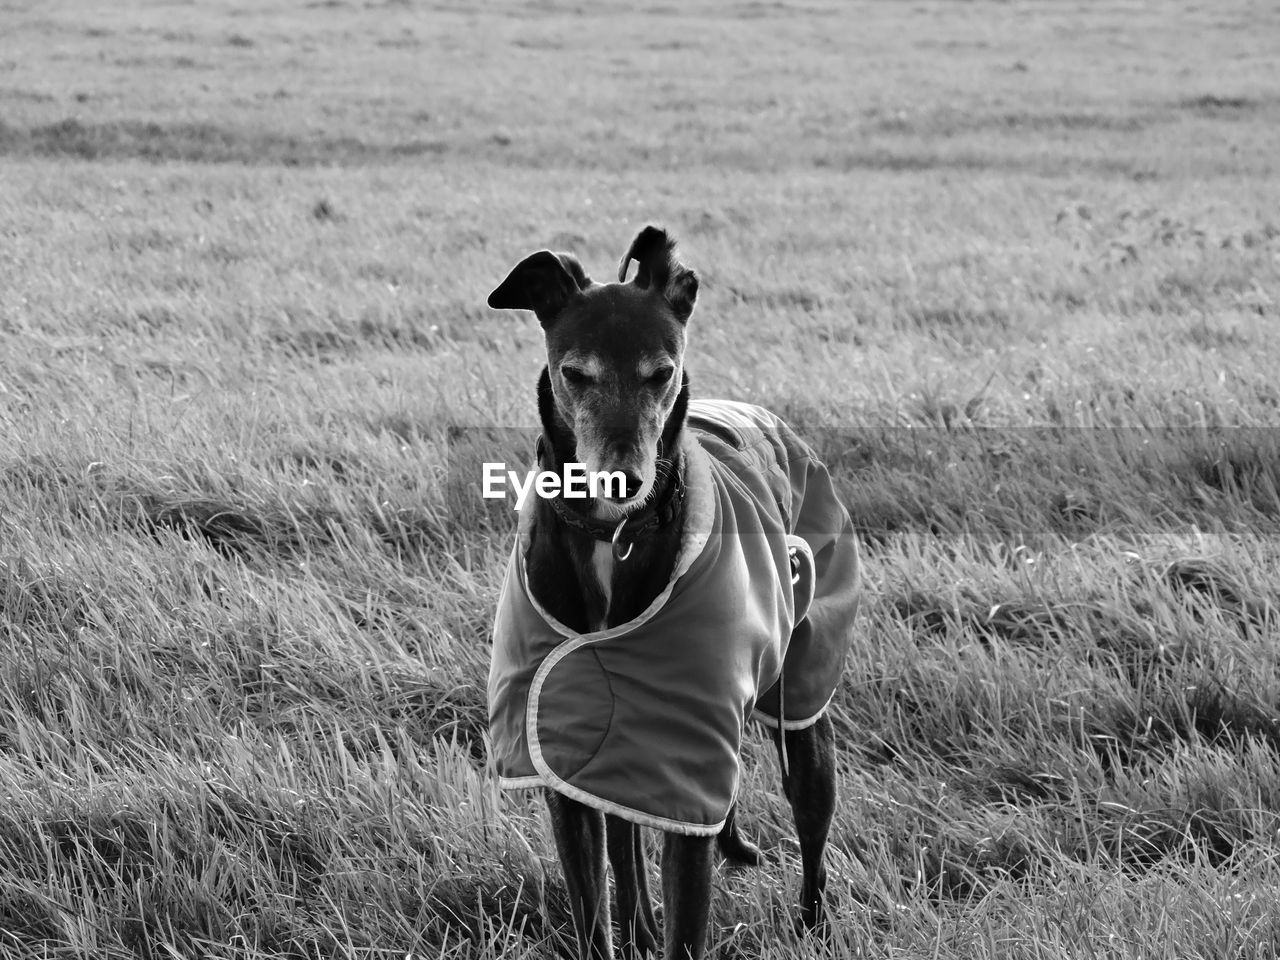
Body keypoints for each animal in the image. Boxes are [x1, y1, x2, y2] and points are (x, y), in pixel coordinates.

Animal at [483, 227, 865, 960]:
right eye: (575, 373)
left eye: (660, 372)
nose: (622, 481)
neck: (613, 539)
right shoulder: (569, 778)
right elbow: (593, 910)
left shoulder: (688, 777)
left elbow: (686, 920)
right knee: (627, 852)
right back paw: (641, 923)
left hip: (803, 710)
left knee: (812, 831)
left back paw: (814, 923)